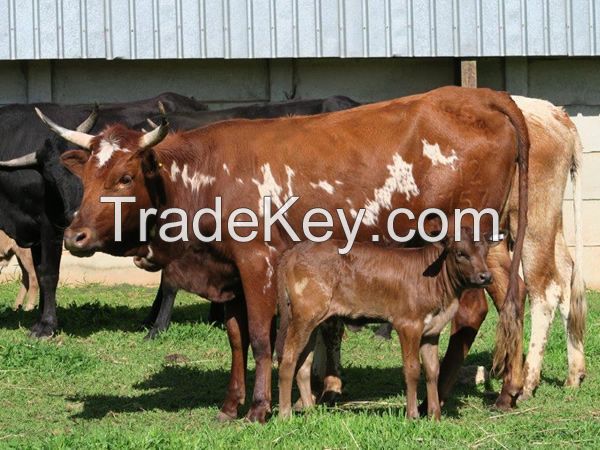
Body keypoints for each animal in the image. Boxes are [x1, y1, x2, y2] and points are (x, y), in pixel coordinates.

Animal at [0, 92, 209, 338]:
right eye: (51, 175)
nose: (75, 215)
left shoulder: (50, 226)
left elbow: (48, 273)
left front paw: (47, 325)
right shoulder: (34, 229)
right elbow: (40, 272)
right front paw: (40, 317)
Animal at [276, 229, 502, 422]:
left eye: (485, 251)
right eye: (460, 253)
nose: (486, 276)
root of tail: (293, 252)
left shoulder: (432, 331)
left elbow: (432, 371)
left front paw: (435, 416)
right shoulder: (408, 324)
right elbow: (412, 370)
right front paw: (412, 415)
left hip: (314, 321)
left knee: (303, 364)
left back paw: (310, 412)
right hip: (304, 315)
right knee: (288, 359)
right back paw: (285, 415)